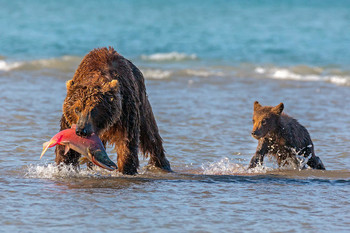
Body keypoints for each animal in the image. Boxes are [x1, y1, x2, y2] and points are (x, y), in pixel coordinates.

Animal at [54, 46, 172, 175]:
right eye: (77, 109)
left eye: (94, 110)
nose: (81, 131)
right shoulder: (69, 121)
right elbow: (67, 148)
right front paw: (63, 166)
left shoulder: (125, 112)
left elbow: (126, 144)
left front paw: (126, 169)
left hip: (142, 102)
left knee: (150, 135)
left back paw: (163, 164)